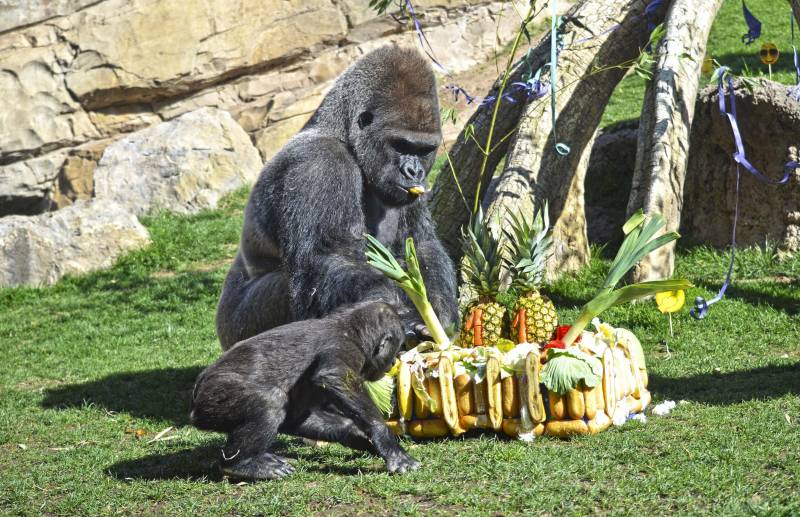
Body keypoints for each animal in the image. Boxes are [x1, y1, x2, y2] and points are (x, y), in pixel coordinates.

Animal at [190, 300, 416, 478]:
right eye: (396, 348)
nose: (393, 361)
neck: (352, 330)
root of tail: (194, 404)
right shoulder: (344, 346)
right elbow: (333, 377)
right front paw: (387, 441)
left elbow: (295, 417)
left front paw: (358, 436)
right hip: (215, 398)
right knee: (269, 402)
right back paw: (241, 465)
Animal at [216, 45, 456, 350]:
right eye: (400, 145)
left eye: (425, 149)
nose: (414, 172)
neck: (344, 135)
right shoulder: (320, 163)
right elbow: (330, 256)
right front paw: (399, 316)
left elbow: (420, 244)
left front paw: (440, 316)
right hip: (235, 328)